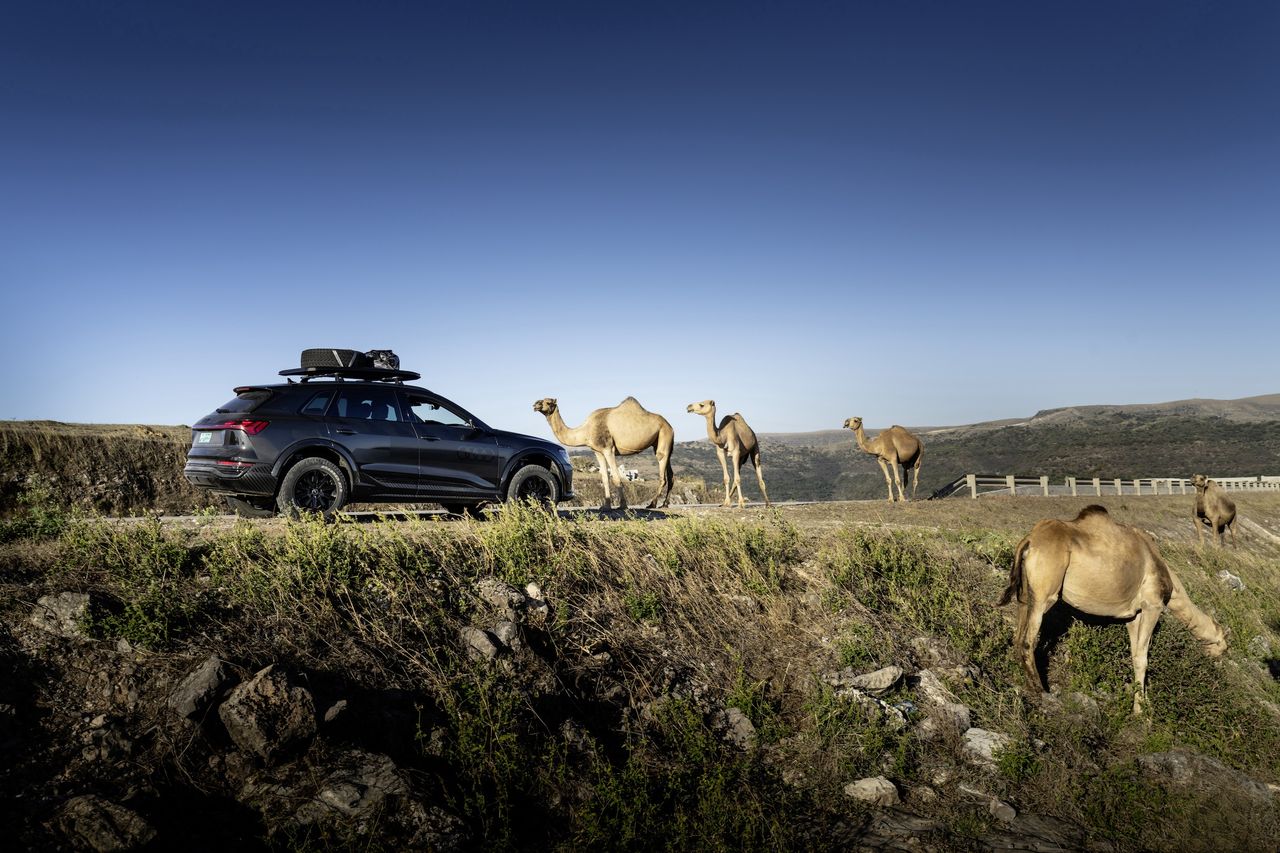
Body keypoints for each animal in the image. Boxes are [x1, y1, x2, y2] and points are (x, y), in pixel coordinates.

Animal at [529, 397, 675, 507]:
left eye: (548, 402)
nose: (535, 404)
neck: (586, 431)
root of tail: (670, 426)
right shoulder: (597, 451)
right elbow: (605, 478)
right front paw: (605, 506)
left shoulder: (608, 448)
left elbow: (616, 478)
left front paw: (623, 505)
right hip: (662, 442)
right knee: (670, 474)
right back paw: (664, 504)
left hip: (664, 435)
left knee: (662, 472)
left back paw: (652, 504)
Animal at [993, 504, 1223, 712]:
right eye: (1223, 646)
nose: (1217, 664)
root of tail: (1029, 541)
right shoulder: (1153, 605)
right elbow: (1142, 658)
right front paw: (1141, 713)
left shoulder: (1133, 616)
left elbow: (1135, 656)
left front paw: (1143, 705)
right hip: (1045, 593)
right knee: (1027, 641)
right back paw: (1040, 690)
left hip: (1025, 593)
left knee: (1017, 635)